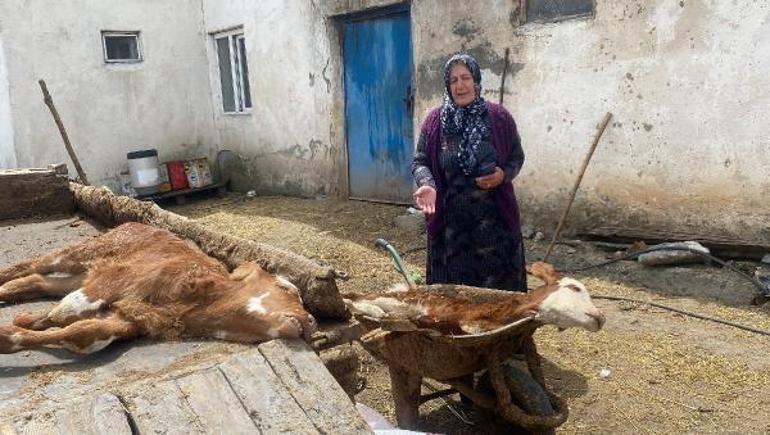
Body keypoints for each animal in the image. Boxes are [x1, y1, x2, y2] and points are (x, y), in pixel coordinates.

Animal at [0, 223, 316, 356]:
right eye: (286, 288)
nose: (312, 322)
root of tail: (134, 222)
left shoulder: (129, 319)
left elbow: (82, 333)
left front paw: (16, 328)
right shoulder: (114, 281)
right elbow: (66, 313)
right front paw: (16, 327)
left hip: (82, 274)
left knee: (38, 281)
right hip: (80, 253)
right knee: (32, 265)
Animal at [344, 262, 604, 338]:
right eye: (575, 288)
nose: (601, 317)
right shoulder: (469, 318)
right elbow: (468, 326)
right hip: (397, 298)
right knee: (355, 296)